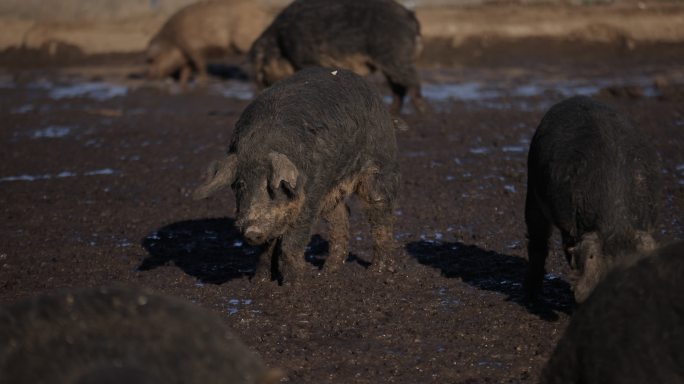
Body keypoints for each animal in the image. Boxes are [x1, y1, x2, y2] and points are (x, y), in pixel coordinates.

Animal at [192, 67, 400, 284]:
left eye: (271, 187)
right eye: (241, 184)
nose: (252, 231)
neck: (261, 147)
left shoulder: (310, 195)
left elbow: (292, 241)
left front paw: (294, 284)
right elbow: (267, 247)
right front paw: (258, 282)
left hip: (379, 165)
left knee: (380, 211)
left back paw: (378, 273)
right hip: (331, 191)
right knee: (341, 215)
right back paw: (327, 273)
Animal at [248, 0, 424, 114]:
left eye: (261, 69)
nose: (255, 93)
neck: (280, 42)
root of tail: (410, 15)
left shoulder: (306, 58)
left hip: (394, 56)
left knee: (413, 81)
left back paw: (421, 110)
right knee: (399, 88)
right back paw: (392, 111)